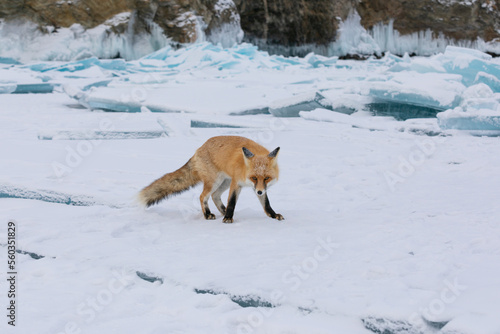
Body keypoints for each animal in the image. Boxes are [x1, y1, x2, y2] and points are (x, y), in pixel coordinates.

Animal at [139, 134, 284, 223]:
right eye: (253, 177)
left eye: (267, 178)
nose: (259, 192)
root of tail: (198, 149)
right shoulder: (237, 182)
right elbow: (232, 201)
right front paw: (228, 218)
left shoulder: (259, 187)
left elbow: (266, 203)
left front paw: (273, 215)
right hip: (215, 182)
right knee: (203, 196)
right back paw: (208, 214)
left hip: (224, 182)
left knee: (215, 196)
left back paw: (223, 211)